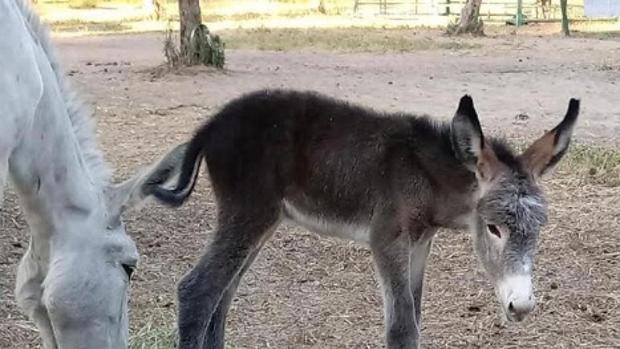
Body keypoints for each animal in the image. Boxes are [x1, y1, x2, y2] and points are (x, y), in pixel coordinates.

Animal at [153, 90, 580, 348]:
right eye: (494, 228)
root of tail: (213, 123)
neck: (425, 177)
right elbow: (402, 328)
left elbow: (415, 317)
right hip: (249, 211)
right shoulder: (387, 239)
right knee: (198, 290)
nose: (520, 307)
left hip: (262, 221)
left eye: (538, 230)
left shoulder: (419, 244)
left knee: (222, 295)